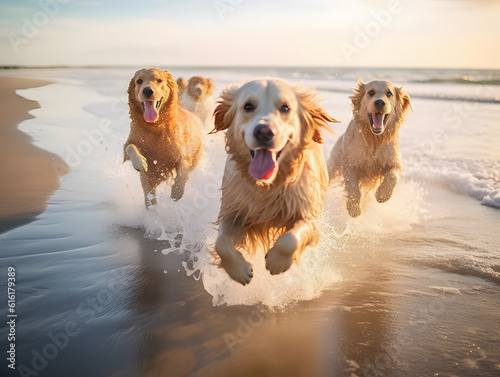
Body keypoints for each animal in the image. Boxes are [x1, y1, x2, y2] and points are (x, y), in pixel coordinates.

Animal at [124, 69, 202, 207]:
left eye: (159, 80)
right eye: (139, 81)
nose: (147, 90)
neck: (156, 127)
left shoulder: (182, 153)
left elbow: (183, 169)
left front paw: (176, 191)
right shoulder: (131, 141)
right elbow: (130, 147)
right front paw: (140, 161)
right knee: (149, 196)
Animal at [209, 80, 338, 284]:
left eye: (285, 108)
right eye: (248, 106)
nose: (263, 132)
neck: (268, 185)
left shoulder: (308, 214)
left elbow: (291, 239)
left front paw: (277, 261)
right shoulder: (233, 211)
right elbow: (221, 242)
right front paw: (239, 270)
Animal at [328, 78, 410, 216]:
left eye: (389, 93)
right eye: (371, 92)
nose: (380, 102)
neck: (374, 139)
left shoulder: (393, 161)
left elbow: (393, 176)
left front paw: (383, 194)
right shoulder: (350, 164)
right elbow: (352, 187)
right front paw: (354, 208)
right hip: (334, 163)